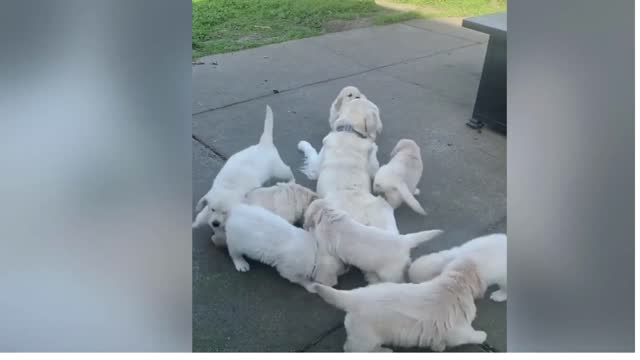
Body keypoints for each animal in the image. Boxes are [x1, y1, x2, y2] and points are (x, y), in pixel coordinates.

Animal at [192, 105, 296, 246]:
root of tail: (264, 144)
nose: (215, 223)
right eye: (213, 209)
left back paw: (292, 180)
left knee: (288, 170)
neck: (228, 187)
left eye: (225, 213)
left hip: (277, 168)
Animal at [310, 256, 484, 352]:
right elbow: (472, 335)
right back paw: (383, 351)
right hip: (365, 338)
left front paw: (438, 347)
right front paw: (482, 336)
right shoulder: (460, 330)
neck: (454, 285)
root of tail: (353, 296)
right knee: (353, 349)